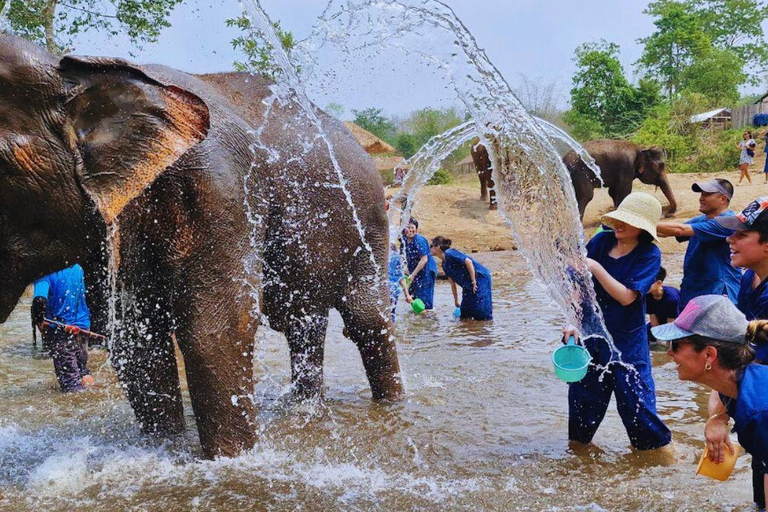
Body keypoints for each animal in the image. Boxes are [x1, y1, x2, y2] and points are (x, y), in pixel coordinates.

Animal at [0, 36, 404, 460]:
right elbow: (137, 338)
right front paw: (165, 446)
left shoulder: (223, 190)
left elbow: (214, 330)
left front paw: (232, 461)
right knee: (303, 323)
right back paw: (305, 409)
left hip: (369, 221)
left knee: (366, 319)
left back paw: (391, 405)